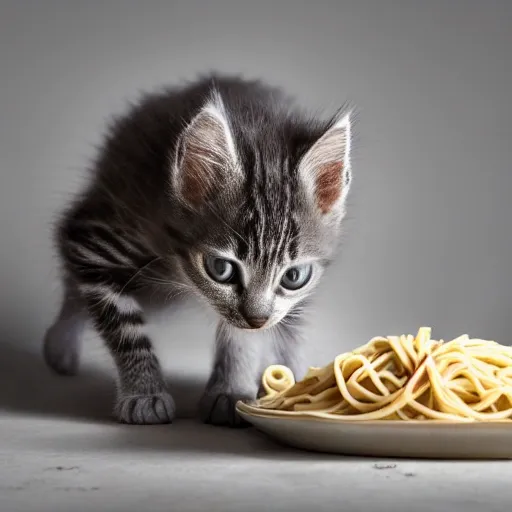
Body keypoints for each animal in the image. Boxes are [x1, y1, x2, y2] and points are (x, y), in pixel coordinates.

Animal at [43, 75, 352, 428]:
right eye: (221, 269)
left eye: (294, 276)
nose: (257, 318)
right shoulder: (95, 239)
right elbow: (125, 329)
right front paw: (145, 393)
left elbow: (245, 334)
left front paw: (231, 389)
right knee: (73, 283)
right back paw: (61, 343)